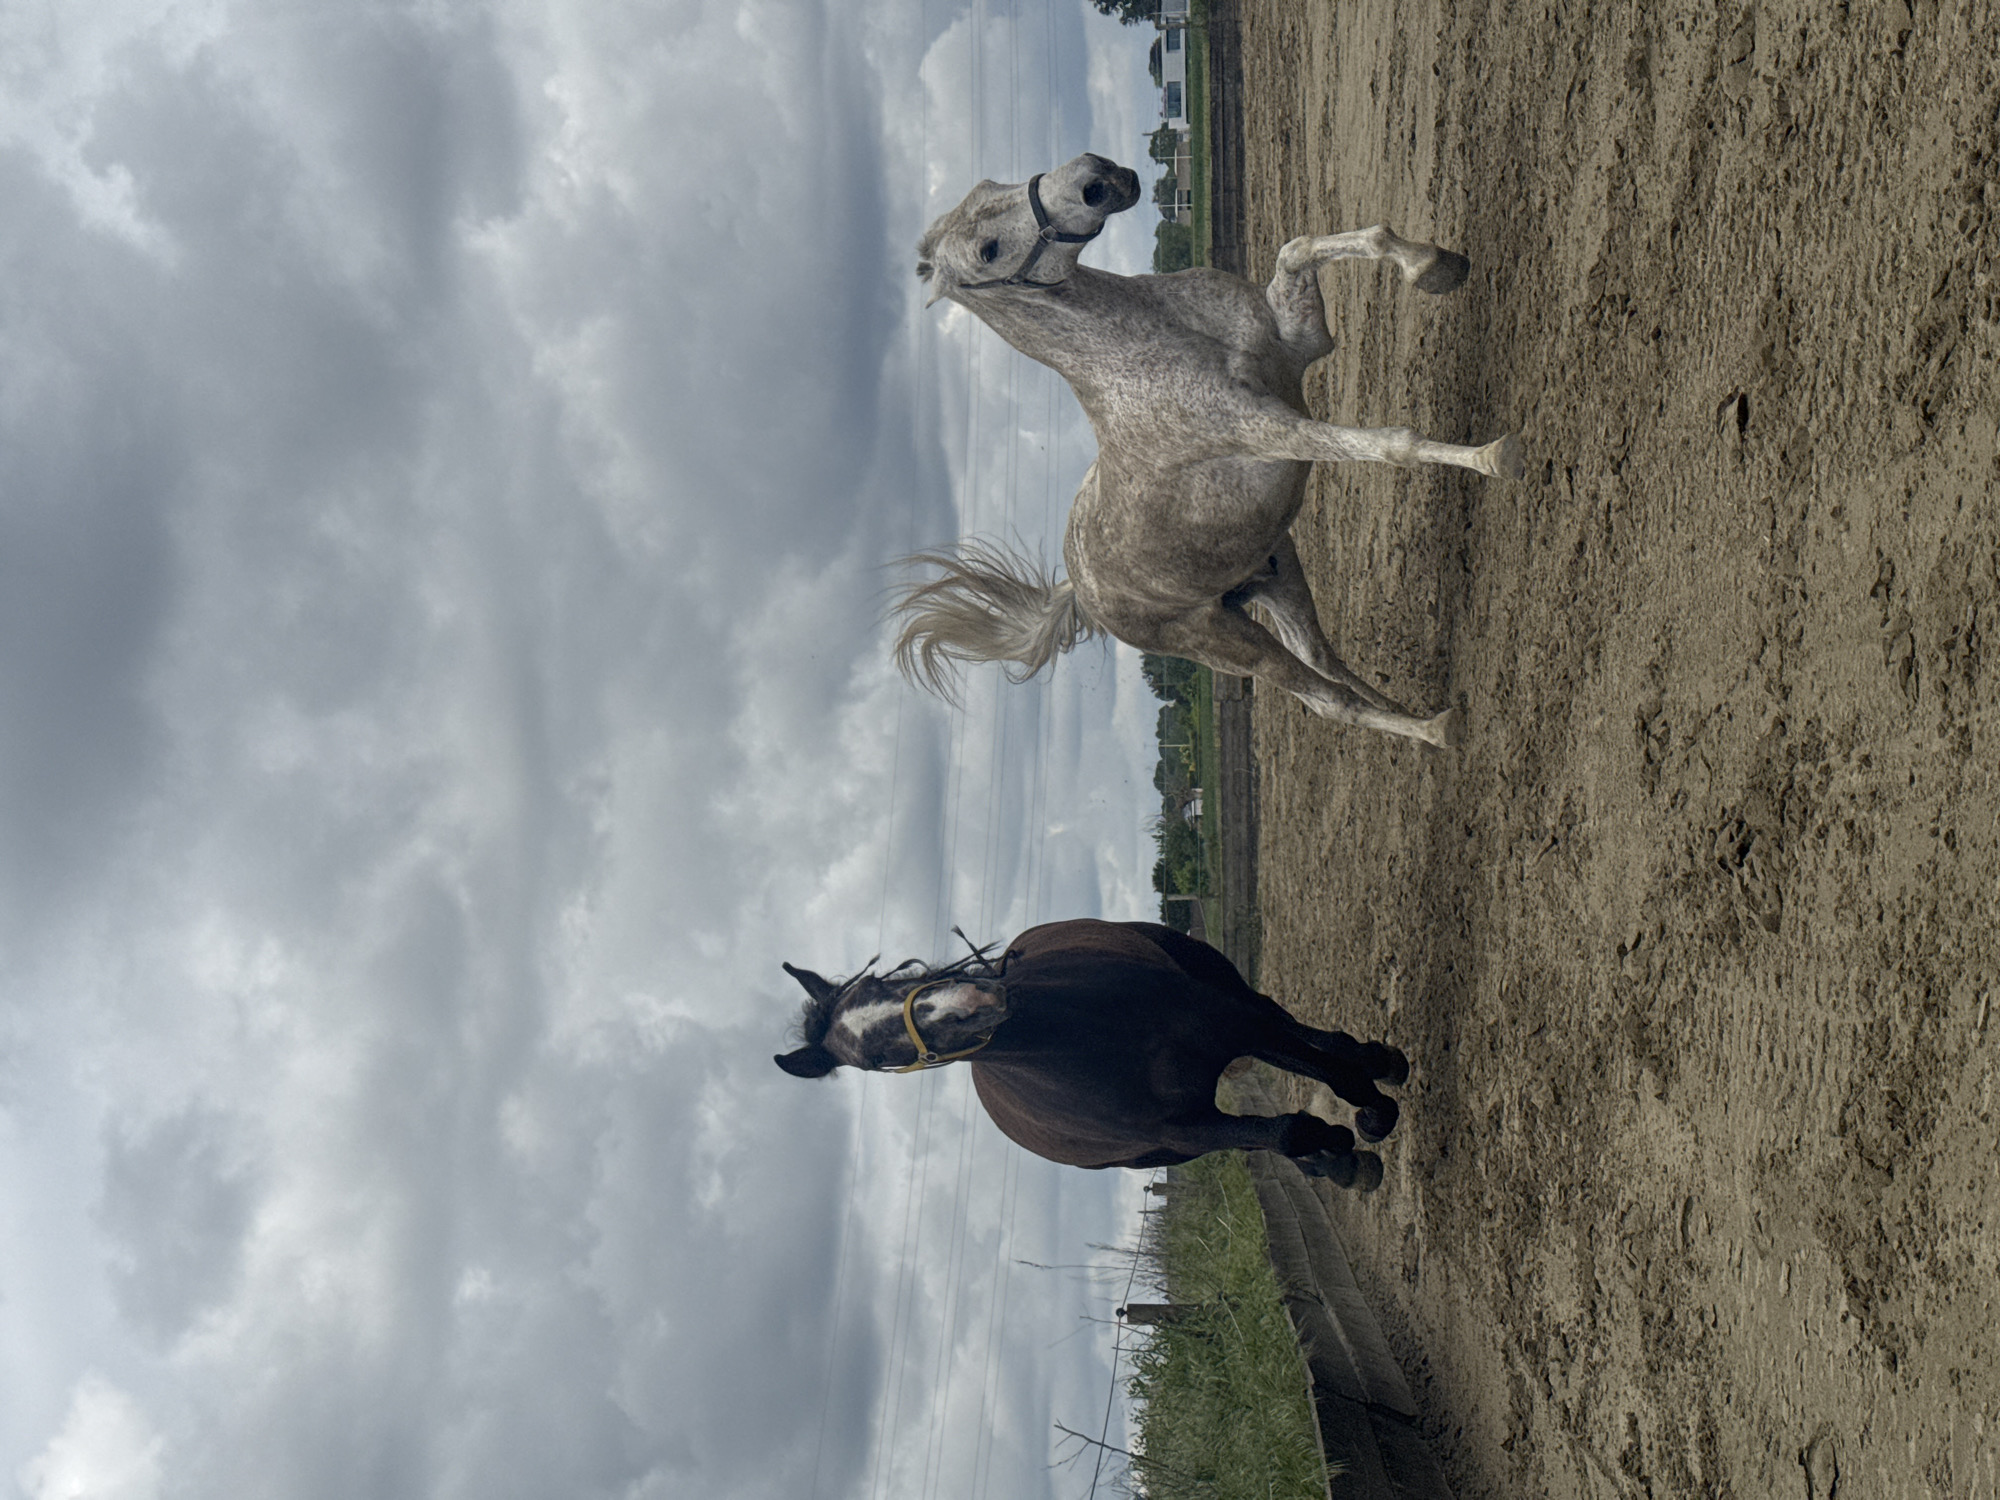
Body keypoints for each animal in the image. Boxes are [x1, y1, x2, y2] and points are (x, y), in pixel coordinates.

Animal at [771, 918, 1407, 1190]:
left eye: (887, 982)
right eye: (874, 1063)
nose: (971, 1003)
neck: (1098, 1045)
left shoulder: (1235, 1025)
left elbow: (1328, 1072)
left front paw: (1373, 1110)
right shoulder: (1185, 1129)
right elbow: (1282, 1133)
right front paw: (1335, 1151)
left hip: (1227, 988)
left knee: (1305, 1032)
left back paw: (1379, 1064)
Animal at [895, 152, 1524, 748]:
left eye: (992, 184)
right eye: (988, 251)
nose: (1095, 179)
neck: (1147, 341)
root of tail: (1085, 592)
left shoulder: (1302, 344)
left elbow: (1301, 249)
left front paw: (1435, 266)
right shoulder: (1272, 430)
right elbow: (1392, 446)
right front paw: (1497, 455)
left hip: (1277, 575)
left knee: (1325, 661)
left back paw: (1405, 712)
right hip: (1226, 641)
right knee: (1326, 701)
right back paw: (1438, 729)